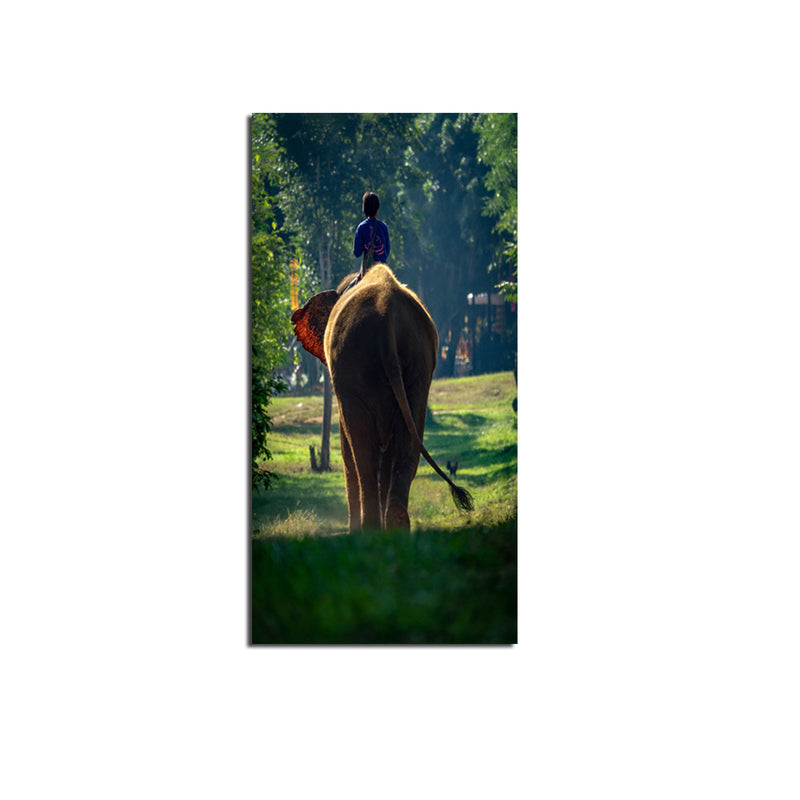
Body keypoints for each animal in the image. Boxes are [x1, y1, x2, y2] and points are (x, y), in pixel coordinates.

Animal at [291, 263, 473, 532]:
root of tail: (388, 317)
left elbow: (349, 443)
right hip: (419, 367)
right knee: (407, 442)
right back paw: (396, 523)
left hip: (355, 363)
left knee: (362, 453)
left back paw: (369, 529)